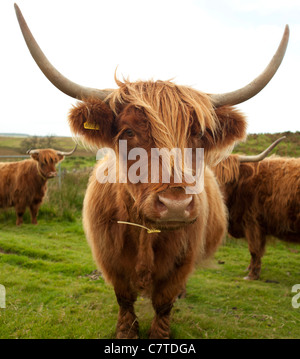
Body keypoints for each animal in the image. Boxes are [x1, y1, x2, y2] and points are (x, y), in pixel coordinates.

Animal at [214, 138, 298, 282]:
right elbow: (258, 251)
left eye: (231, 181)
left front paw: (252, 275)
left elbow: (254, 250)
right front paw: (249, 269)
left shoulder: (252, 223)